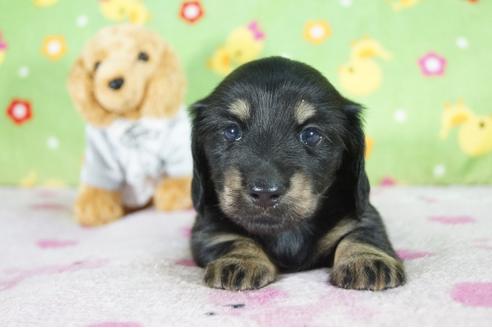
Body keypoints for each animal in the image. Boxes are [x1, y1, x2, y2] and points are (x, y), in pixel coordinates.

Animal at [190, 57, 406, 290]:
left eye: (310, 134)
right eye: (231, 131)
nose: (265, 192)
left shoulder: (361, 216)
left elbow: (361, 235)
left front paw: (367, 260)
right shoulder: (209, 230)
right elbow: (234, 239)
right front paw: (241, 260)